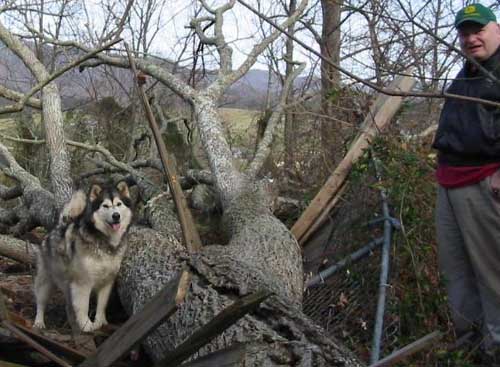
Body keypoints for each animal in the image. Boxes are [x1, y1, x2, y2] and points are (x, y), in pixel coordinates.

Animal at [34, 181, 134, 334]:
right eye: (105, 206)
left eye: (119, 204)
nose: (116, 216)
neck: (105, 240)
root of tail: (58, 227)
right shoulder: (82, 282)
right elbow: (83, 305)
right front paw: (86, 325)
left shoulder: (107, 281)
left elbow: (102, 305)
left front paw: (100, 322)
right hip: (46, 281)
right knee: (40, 302)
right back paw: (39, 322)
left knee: (69, 303)